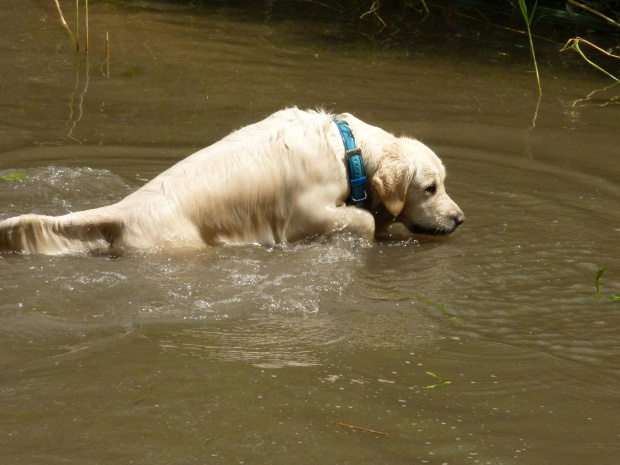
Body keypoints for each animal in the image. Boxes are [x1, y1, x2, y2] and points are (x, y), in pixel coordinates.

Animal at [0, 107, 462, 256]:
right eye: (430, 188)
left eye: (442, 183)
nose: (459, 219)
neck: (347, 151)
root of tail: (123, 210)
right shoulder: (304, 213)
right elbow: (361, 221)